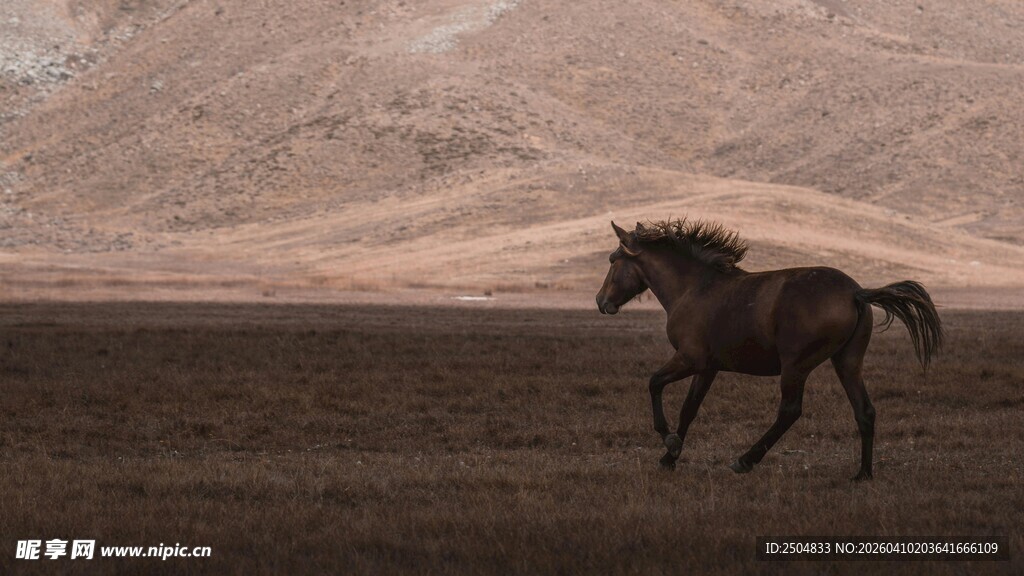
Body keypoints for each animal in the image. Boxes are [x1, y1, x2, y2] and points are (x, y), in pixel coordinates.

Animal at [595, 219, 943, 480]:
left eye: (613, 261)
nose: (600, 301)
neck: (693, 289)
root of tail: (856, 293)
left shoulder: (689, 359)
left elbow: (654, 383)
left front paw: (669, 442)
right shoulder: (708, 367)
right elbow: (689, 409)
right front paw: (671, 456)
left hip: (796, 366)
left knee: (790, 411)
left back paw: (745, 460)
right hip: (847, 362)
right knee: (865, 411)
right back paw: (863, 474)